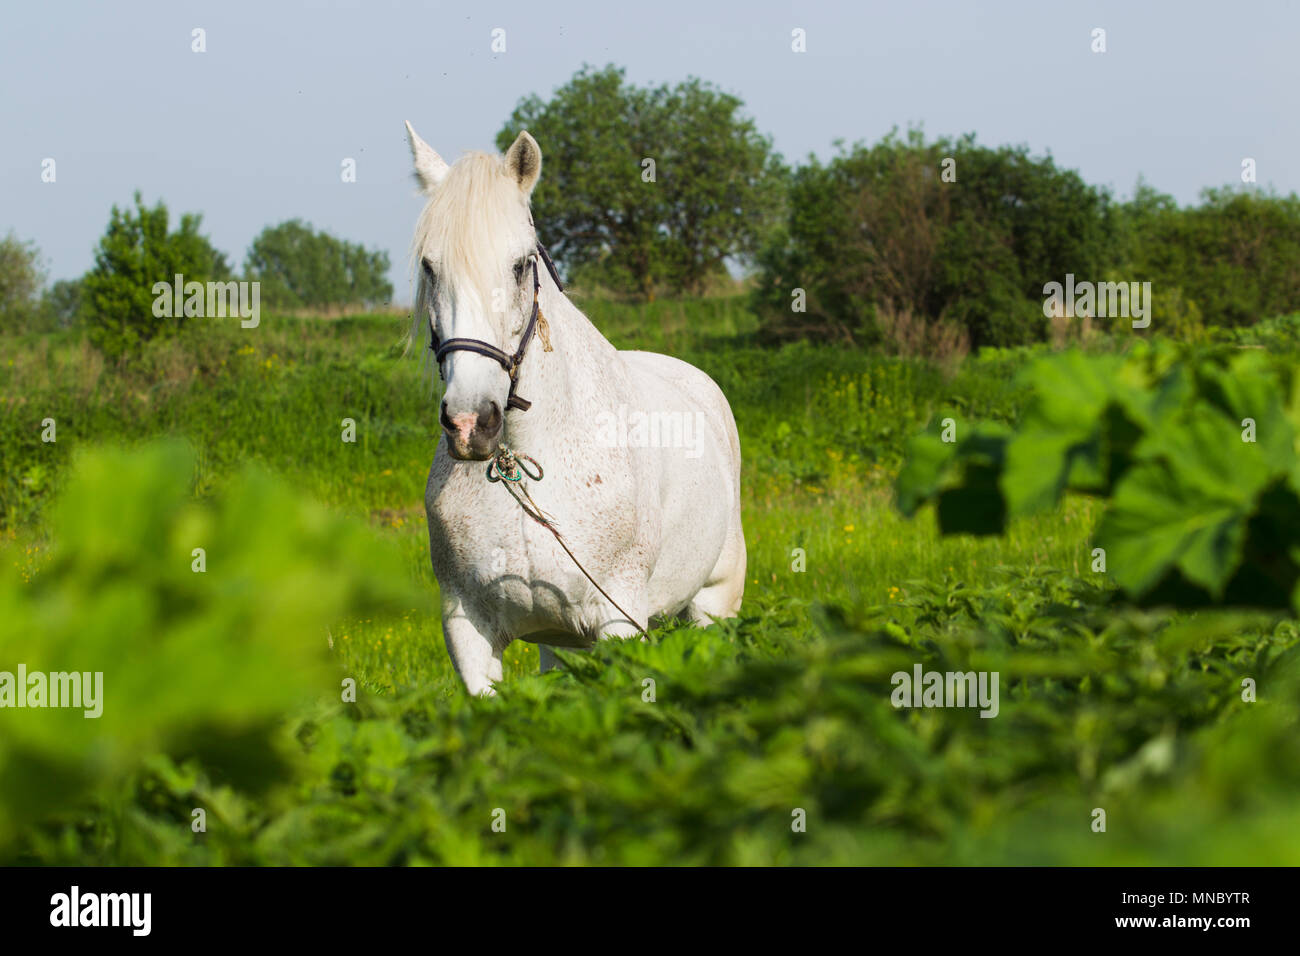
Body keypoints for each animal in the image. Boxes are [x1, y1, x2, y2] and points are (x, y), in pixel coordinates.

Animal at [405, 122, 746, 696]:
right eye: (430, 267)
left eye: (521, 265)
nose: (471, 423)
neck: (520, 462)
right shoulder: (467, 632)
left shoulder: (620, 621)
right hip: (560, 648)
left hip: (715, 605)